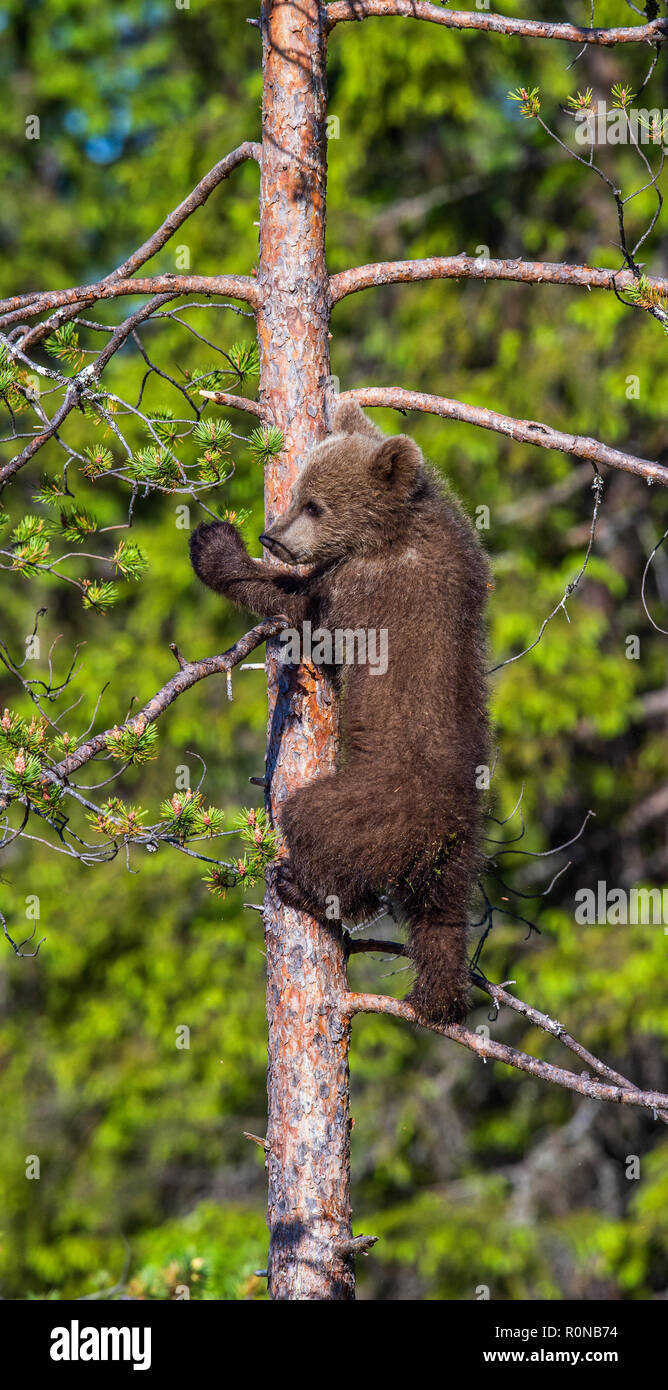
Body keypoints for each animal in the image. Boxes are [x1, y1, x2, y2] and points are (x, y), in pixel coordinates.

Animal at [189, 399, 490, 1023]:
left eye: (314, 504)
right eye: (300, 490)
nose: (273, 537)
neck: (389, 533)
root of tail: (441, 833)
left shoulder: (368, 592)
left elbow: (306, 612)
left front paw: (215, 546)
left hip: (376, 805)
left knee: (317, 826)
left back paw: (299, 885)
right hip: (455, 861)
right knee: (439, 922)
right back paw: (440, 996)